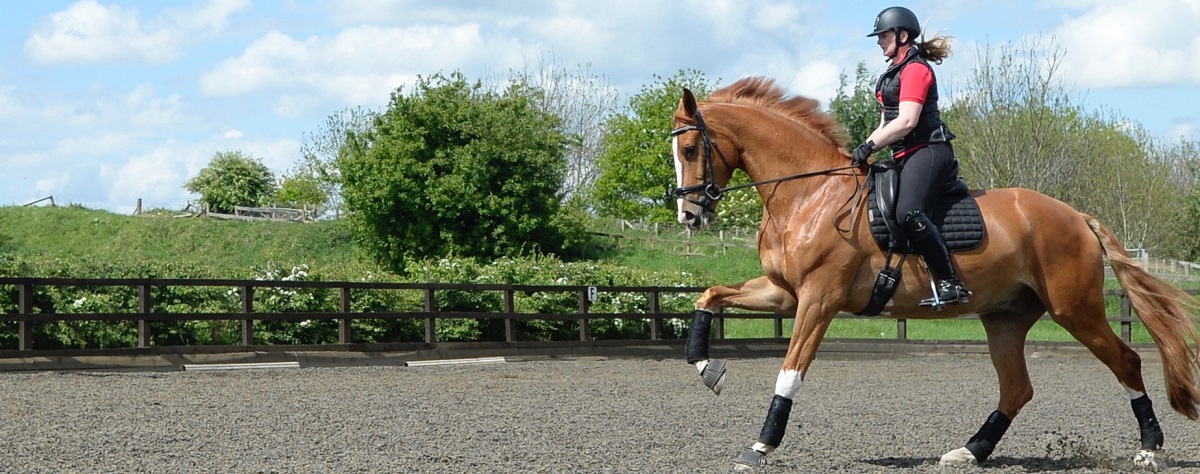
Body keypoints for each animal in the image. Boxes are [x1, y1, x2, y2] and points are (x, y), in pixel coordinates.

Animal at [676, 78, 1200, 470]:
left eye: (690, 148)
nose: (688, 215)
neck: (811, 194)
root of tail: (1077, 216)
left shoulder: (818, 299)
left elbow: (790, 374)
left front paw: (760, 445)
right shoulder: (784, 294)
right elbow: (709, 296)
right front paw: (709, 369)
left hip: (1075, 309)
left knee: (1126, 362)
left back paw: (1150, 449)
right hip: (1006, 318)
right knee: (1017, 387)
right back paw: (970, 451)